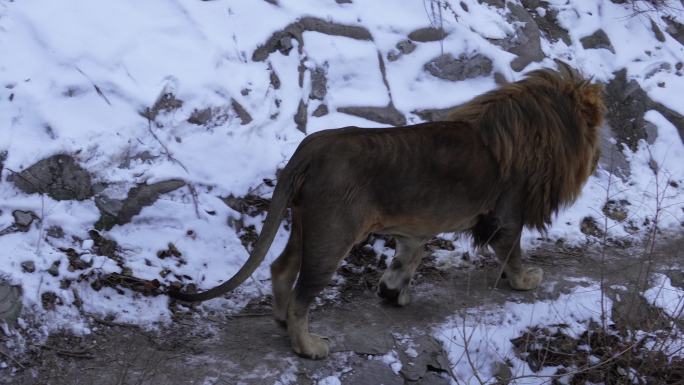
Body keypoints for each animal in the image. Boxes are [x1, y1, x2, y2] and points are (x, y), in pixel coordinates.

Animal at [171, 61, 604, 358]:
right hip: (332, 235)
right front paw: (526, 280)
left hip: (305, 224)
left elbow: (407, 260)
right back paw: (307, 346)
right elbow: (513, 253)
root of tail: (311, 147)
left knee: (281, 267)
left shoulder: (414, 231)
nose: (599, 157)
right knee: (301, 294)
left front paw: (393, 292)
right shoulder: (506, 216)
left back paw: (280, 321)